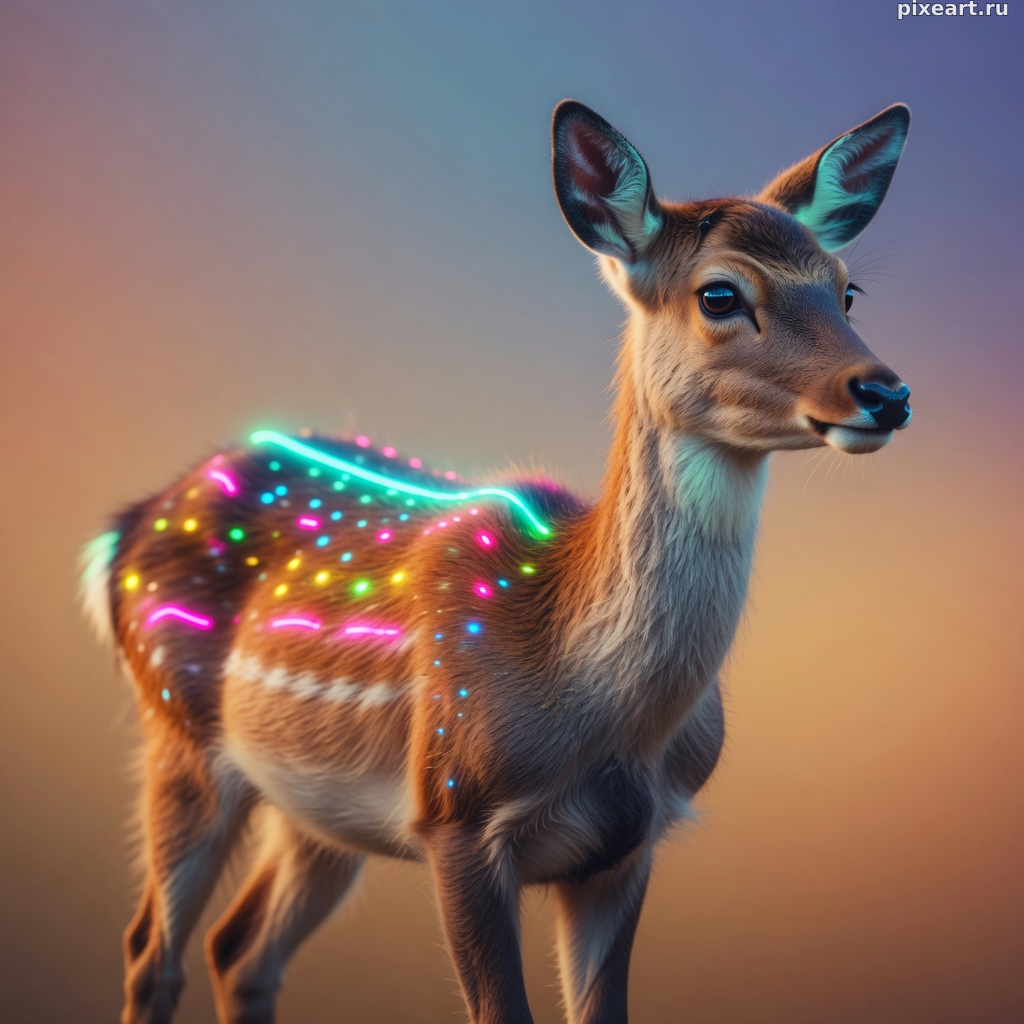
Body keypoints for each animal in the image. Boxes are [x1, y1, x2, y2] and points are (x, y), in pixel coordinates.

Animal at [81, 99, 912, 1024]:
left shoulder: (630, 845)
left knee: (239, 948)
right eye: (721, 293)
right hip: (179, 731)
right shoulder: (455, 811)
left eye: (847, 287)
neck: (599, 711)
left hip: (317, 806)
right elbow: (500, 1008)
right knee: (152, 949)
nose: (884, 392)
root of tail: (122, 531)